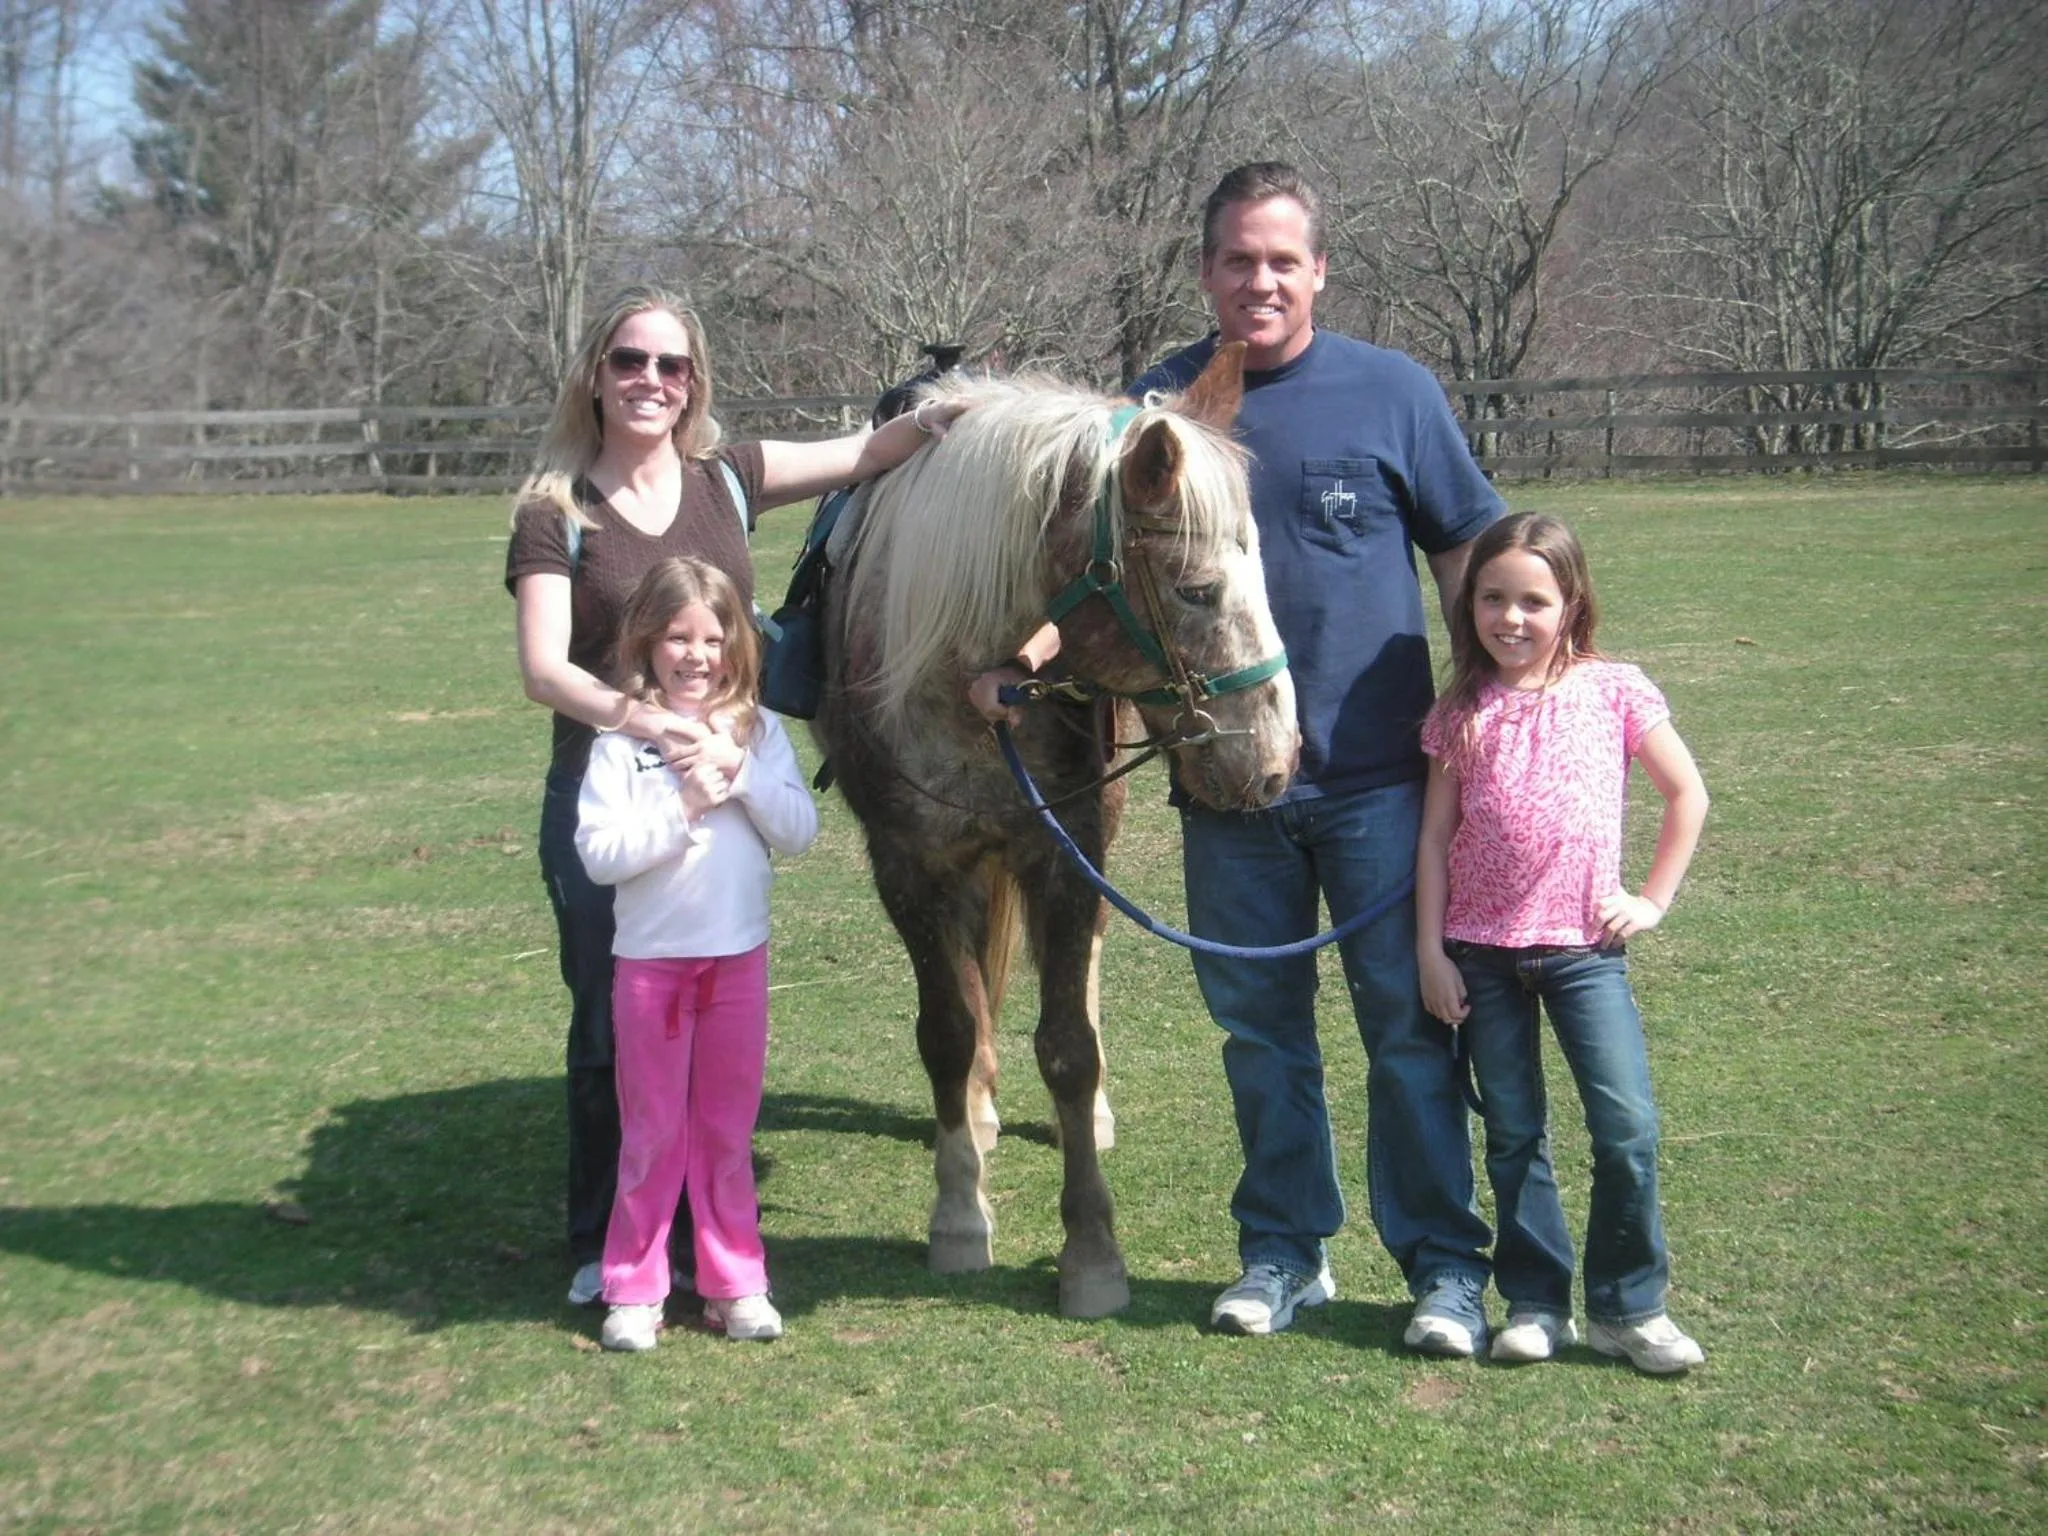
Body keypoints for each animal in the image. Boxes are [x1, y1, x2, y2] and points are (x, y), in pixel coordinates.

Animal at [813, 343, 1299, 1318]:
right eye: (1197, 589)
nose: (1276, 761)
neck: (965, 675)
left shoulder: (1065, 857)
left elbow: (1070, 1047)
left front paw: (1093, 1255)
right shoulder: (909, 868)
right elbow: (946, 1030)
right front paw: (960, 1219)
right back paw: (977, 1111)